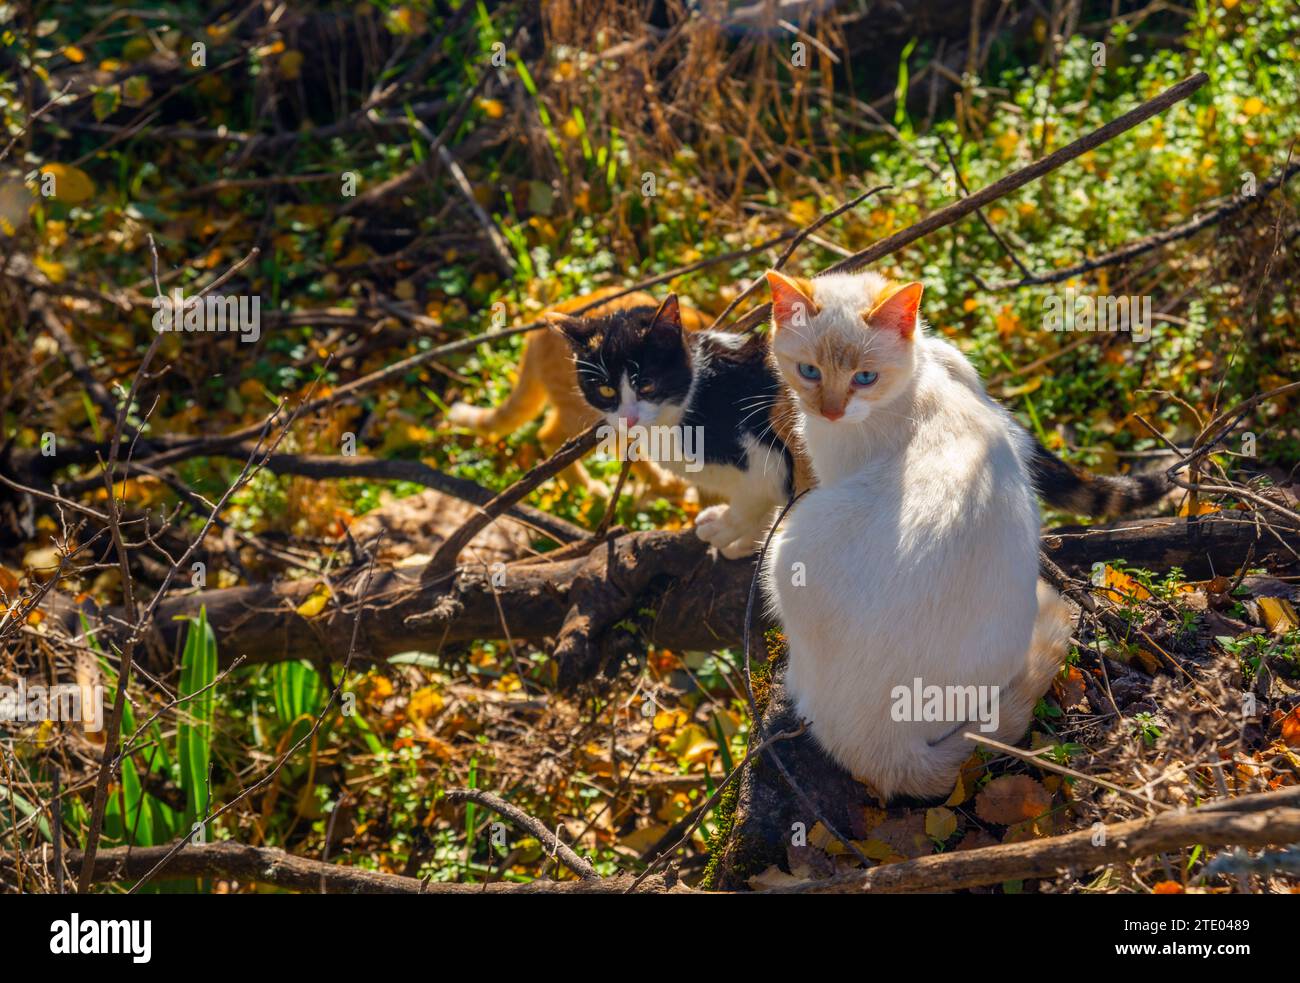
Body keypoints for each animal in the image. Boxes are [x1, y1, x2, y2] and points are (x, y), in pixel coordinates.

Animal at [759, 269, 1066, 800]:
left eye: (865, 377)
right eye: (810, 371)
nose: (831, 411)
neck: (918, 380)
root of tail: (888, 745)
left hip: (788, 544)